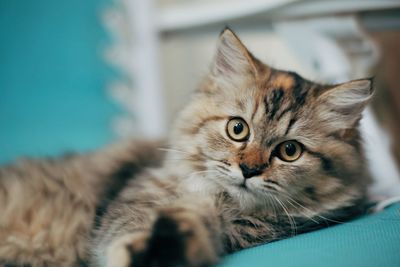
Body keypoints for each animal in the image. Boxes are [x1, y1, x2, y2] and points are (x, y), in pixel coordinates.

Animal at [1, 28, 374, 267]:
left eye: (290, 151)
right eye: (237, 129)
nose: (249, 170)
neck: (217, 199)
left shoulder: (235, 231)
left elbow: (195, 229)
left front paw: (173, 239)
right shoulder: (128, 204)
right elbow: (125, 234)